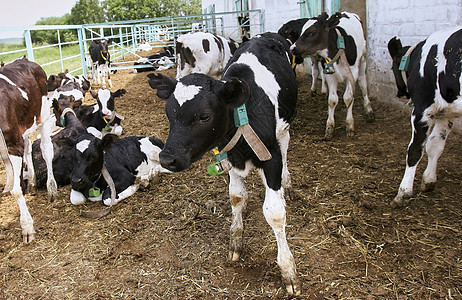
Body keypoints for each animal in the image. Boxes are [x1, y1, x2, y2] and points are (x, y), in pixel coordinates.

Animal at [0, 56, 57, 244]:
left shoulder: (12, 143)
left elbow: (16, 191)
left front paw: (26, 227)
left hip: (43, 114)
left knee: (47, 150)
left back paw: (51, 189)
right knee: (28, 149)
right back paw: (31, 182)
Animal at [147, 32, 300, 296]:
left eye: (204, 116)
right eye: (169, 113)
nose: (167, 158)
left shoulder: (271, 158)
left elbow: (275, 213)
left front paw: (288, 270)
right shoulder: (229, 156)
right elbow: (237, 197)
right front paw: (236, 241)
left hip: (285, 127)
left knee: (285, 145)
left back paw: (287, 183)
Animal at [386, 27, 462, 206]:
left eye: (392, 68)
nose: (399, 93)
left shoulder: (422, 108)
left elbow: (415, 149)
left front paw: (404, 192)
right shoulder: (446, 113)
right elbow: (435, 145)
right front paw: (429, 180)